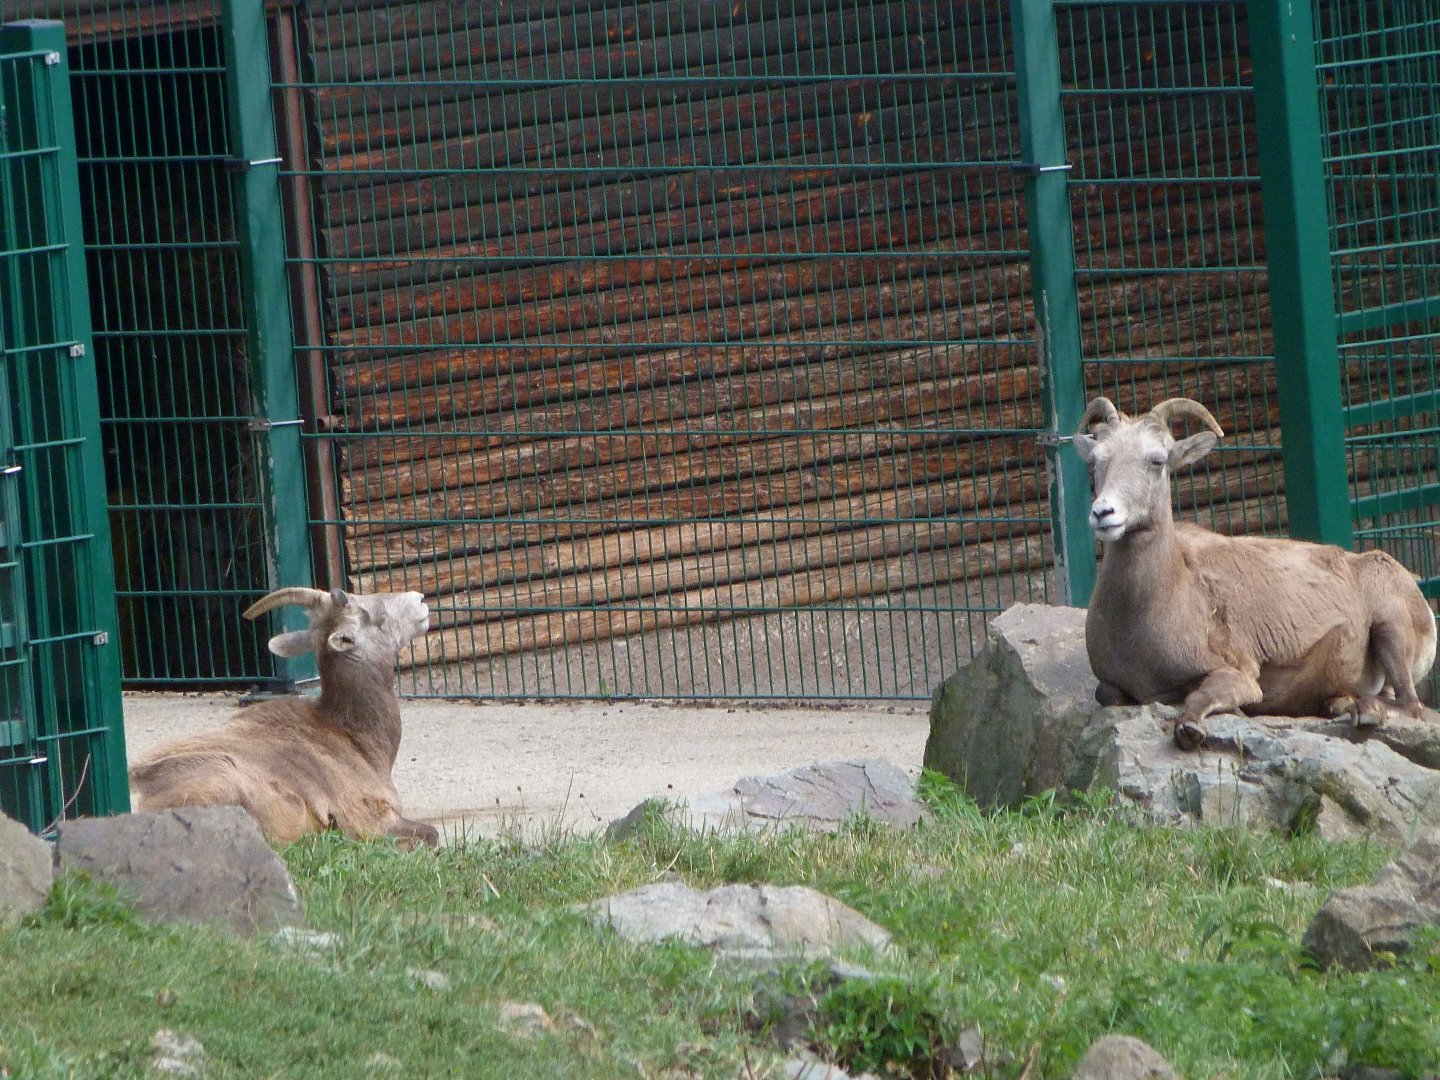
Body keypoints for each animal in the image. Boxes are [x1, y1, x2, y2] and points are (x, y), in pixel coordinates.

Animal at [1074, 396, 1437, 751]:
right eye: (1095, 461)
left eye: (1157, 461)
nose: (1103, 513)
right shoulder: (1111, 686)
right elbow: (1106, 694)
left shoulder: (1238, 675)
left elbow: (1201, 696)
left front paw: (1192, 728)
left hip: (1391, 628)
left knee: (1410, 705)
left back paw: (1366, 712)